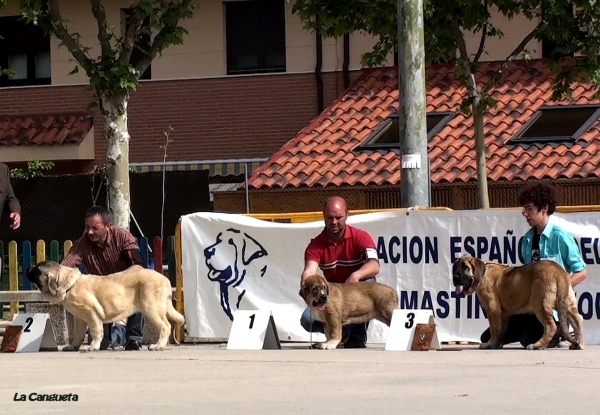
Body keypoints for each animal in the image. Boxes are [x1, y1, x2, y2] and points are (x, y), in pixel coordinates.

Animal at [26, 262, 185, 352]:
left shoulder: (92, 314)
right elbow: (78, 333)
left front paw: (92, 346)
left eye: (36, 270)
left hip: (150, 308)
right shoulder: (80, 319)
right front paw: (73, 346)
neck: (69, 285)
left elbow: (96, 331)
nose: (28, 268)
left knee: (165, 326)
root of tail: (164, 278)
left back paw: (158, 345)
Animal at [452, 256, 584, 352]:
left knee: (551, 326)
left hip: (539, 302)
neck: (483, 274)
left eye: (465, 267)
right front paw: (497, 344)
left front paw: (490, 344)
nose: (455, 277)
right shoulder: (503, 314)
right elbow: (501, 329)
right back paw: (578, 344)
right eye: (455, 268)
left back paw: (537, 345)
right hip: (566, 303)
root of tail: (558, 270)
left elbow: (494, 329)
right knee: (578, 319)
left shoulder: (492, 308)